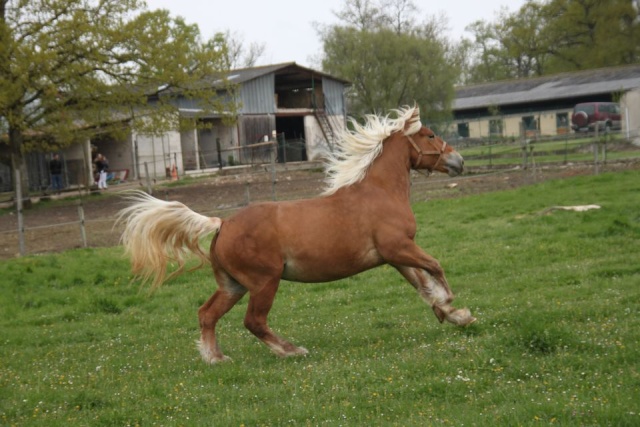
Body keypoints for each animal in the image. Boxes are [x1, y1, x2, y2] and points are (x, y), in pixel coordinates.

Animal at [119, 105, 476, 362]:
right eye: (430, 135)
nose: (459, 161)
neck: (380, 192)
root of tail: (223, 223)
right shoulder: (399, 248)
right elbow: (435, 267)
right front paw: (451, 302)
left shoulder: (394, 256)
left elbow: (422, 286)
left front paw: (455, 315)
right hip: (265, 281)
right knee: (253, 321)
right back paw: (291, 350)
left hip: (233, 285)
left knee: (207, 314)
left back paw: (215, 358)